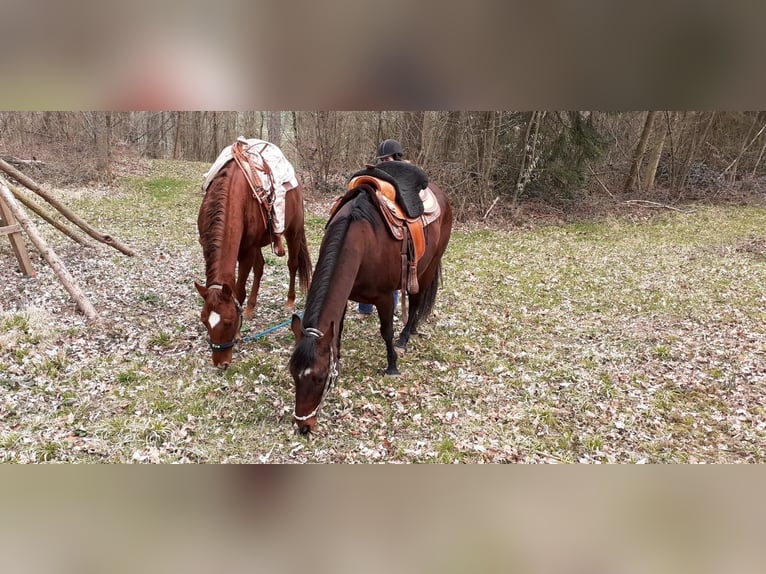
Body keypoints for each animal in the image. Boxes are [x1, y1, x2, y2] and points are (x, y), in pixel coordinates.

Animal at [195, 148, 312, 370]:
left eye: (229, 321)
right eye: (204, 320)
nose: (221, 363)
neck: (234, 195)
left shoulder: (247, 250)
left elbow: (239, 291)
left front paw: (239, 332)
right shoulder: (209, 248)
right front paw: (246, 311)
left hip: (293, 230)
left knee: (292, 265)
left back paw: (289, 301)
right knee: (260, 268)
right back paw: (251, 307)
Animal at [288, 165, 453, 434]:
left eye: (319, 378)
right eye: (293, 374)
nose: (304, 426)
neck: (362, 240)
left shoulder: (384, 298)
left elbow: (386, 331)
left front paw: (392, 366)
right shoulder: (345, 298)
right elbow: (337, 331)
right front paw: (339, 364)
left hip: (426, 269)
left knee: (416, 304)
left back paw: (405, 336)